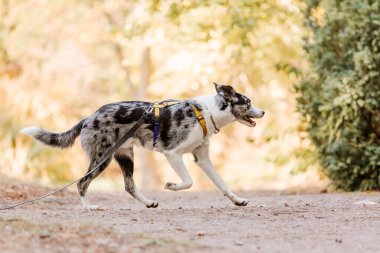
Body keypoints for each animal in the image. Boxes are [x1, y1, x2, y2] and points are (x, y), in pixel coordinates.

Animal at [20, 83, 264, 210]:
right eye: (248, 102)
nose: (263, 112)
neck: (207, 113)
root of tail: (89, 117)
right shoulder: (172, 153)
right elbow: (188, 181)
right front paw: (171, 186)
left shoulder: (203, 159)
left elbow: (222, 184)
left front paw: (237, 200)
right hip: (102, 158)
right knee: (82, 182)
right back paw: (88, 207)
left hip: (126, 157)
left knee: (129, 186)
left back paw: (148, 203)